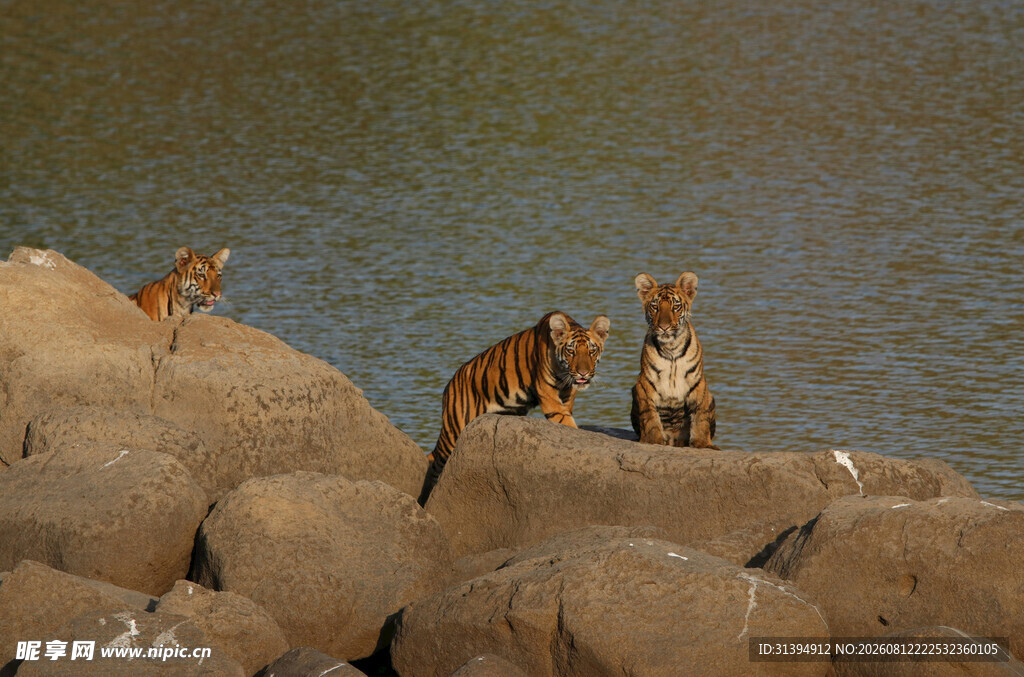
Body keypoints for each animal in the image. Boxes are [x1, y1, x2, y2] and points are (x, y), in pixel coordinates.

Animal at [418, 311, 611, 505]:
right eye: (571, 351)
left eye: (592, 351)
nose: (583, 373)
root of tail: (449, 384)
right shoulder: (549, 398)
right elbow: (567, 422)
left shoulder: (567, 397)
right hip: (454, 431)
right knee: (434, 461)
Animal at [630, 272, 718, 449]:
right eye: (655, 307)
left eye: (675, 307)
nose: (664, 327)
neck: (671, 347)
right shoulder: (644, 385)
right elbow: (650, 418)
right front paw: (654, 441)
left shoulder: (698, 383)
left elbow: (701, 417)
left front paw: (703, 444)